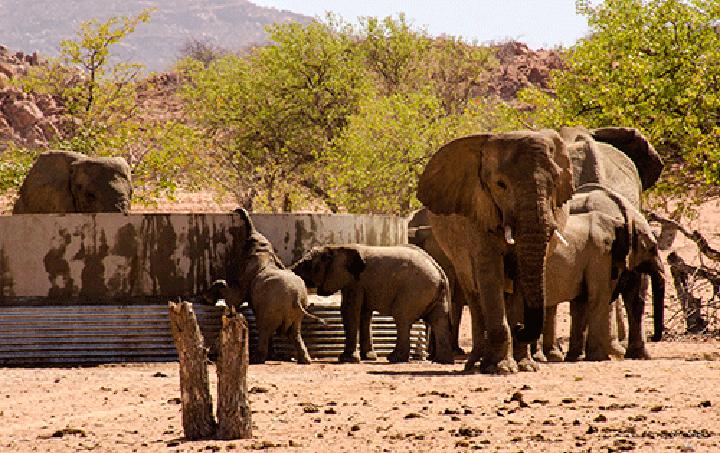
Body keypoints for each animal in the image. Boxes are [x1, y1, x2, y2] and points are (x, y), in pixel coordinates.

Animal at [197, 208, 324, 364]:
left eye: (247, 242)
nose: (235, 210)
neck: (264, 251)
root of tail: (296, 299)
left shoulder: (247, 276)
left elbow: (235, 298)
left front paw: (207, 299)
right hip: (293, 312)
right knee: (294, 332)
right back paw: (305, 361)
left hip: (271, 307)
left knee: (264, 328)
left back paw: (257, 359)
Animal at [291, 244, 454, 364]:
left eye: (307, 265)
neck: (336, 247)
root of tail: (440, 272)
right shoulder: (361, 285)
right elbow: (365, 314)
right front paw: (368, 357)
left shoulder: (355, 282)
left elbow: (349, 311)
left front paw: (347, 359)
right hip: (435, 294)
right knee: (439, 320)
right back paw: (442, 361)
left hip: (414, 290)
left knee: (402, 318)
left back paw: (394, 358)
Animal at [417, 130, 575, 373]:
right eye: (501, 184)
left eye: (556, 181)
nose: (520, 327)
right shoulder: (478, 210)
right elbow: (489, 274)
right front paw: (500, 368)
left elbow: (519, 277)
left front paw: (525, 366)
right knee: (474, 293)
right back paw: (474, 365)